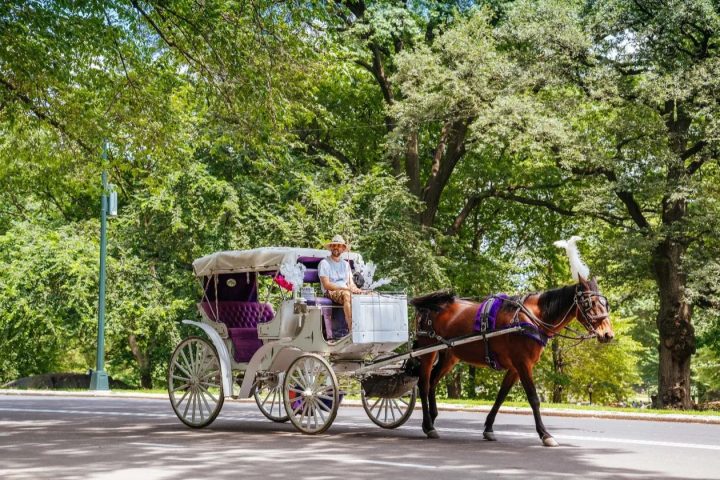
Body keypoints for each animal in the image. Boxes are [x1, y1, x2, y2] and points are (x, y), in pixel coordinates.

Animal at [410, 275, 613, 446]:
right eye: (590, 303)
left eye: (605, 303)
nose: (608, 334)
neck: (532, 318)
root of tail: (429, 307)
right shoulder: (523, 364)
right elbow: (533, 399)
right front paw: (545, 434)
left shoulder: (515, 368)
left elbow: (501, 396)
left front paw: (488, 428)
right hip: (427, 351)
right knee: (424, 384)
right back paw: (428, 425)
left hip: (449, 355)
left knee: (432, 382)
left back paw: (431, 420)